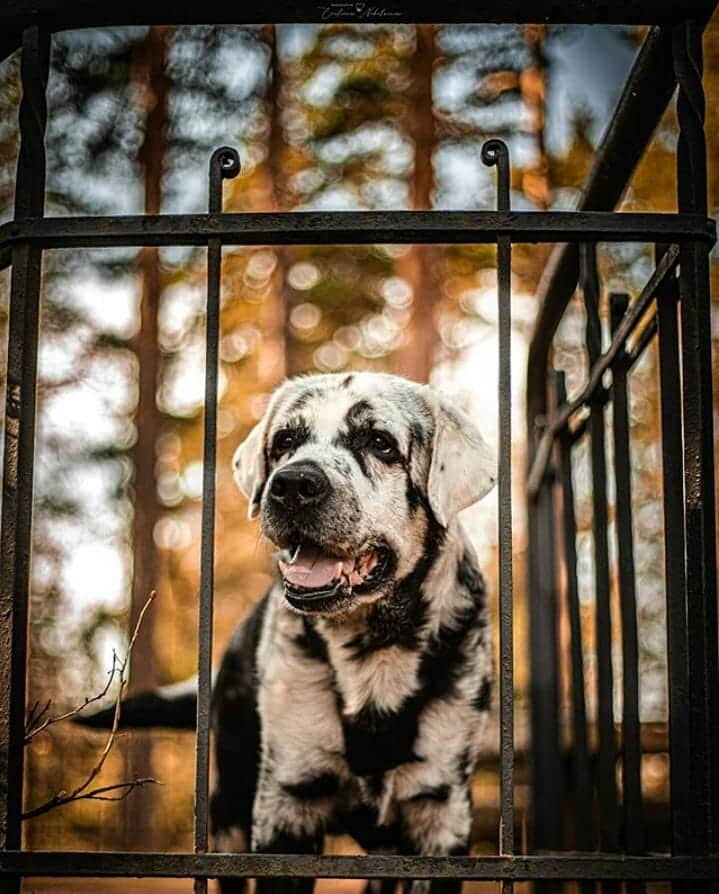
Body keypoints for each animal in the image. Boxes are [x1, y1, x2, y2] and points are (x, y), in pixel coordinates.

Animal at [81, 372, 496, 894]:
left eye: (380, 443)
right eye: (284, 442)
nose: (294, 484)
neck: (375, 653)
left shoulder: (441, 815)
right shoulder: (286, 806)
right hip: (231, 808)